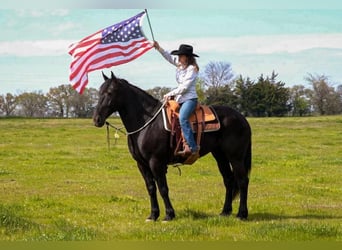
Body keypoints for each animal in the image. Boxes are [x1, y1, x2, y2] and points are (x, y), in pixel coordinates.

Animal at [93, 72, 251, 221]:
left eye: (110, 92)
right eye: (100, 92)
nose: (96, 119)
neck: (147, 122)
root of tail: (242, 118)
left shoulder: (156, 162)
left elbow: (163, 188)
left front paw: (169, 215)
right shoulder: (142, 164)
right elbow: (151, 188)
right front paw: (153, 215)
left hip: (235, 157)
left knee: (242, 181)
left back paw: (242, 214)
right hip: (220, 156)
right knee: (229, 180)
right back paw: (225, 211)